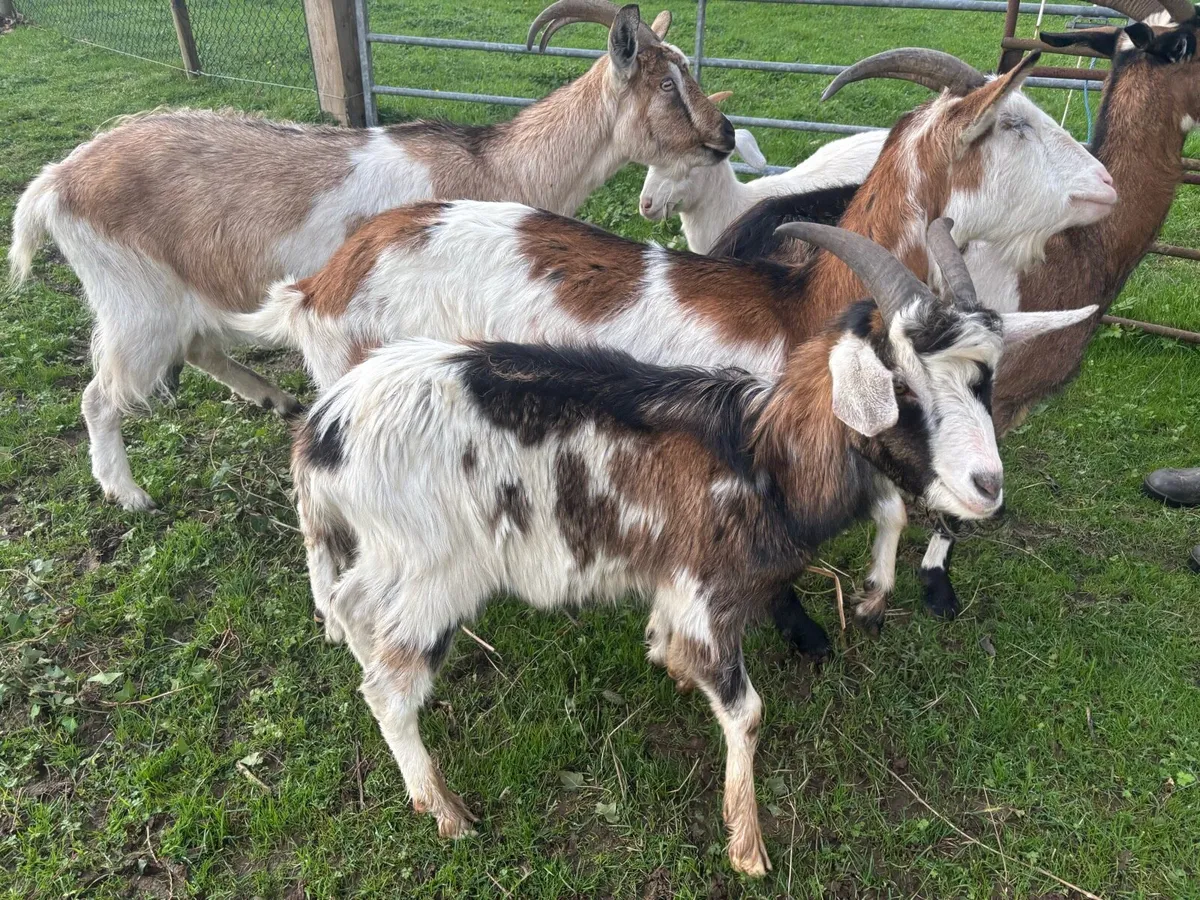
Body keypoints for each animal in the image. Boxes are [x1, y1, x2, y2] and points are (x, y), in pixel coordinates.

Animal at [7, 0, 732, 512]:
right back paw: (128, 493)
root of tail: (56, 182)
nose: (724, 136)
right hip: (134, 299)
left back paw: (272, 398)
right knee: (101, 395)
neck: (500, 166)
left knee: (198, 345)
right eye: (667, 86)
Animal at [291, 220, 1084, 876]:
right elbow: (747, 712)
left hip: (383, 560)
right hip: (431, 574)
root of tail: (325, 433)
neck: (763, 455)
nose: (987, 488)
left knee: (353, 612)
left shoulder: (679, 581)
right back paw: (446, 811)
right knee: (388, 689)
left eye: (985, 383)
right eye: (905, 389)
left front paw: (677, 662)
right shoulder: (709, 589)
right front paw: (749, 847)